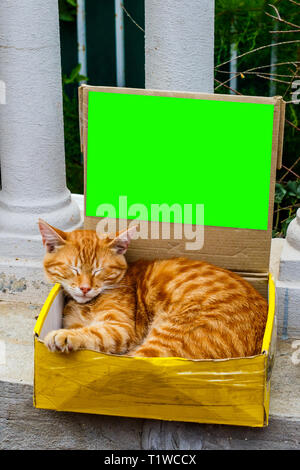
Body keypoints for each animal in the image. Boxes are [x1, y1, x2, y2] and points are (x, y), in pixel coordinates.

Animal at [39, 218, 268, 358]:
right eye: (73, 268)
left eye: (99, 270)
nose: (85, 288)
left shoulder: (119, 327)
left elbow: (94, 334)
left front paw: (65, 337)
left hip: (168, 338)